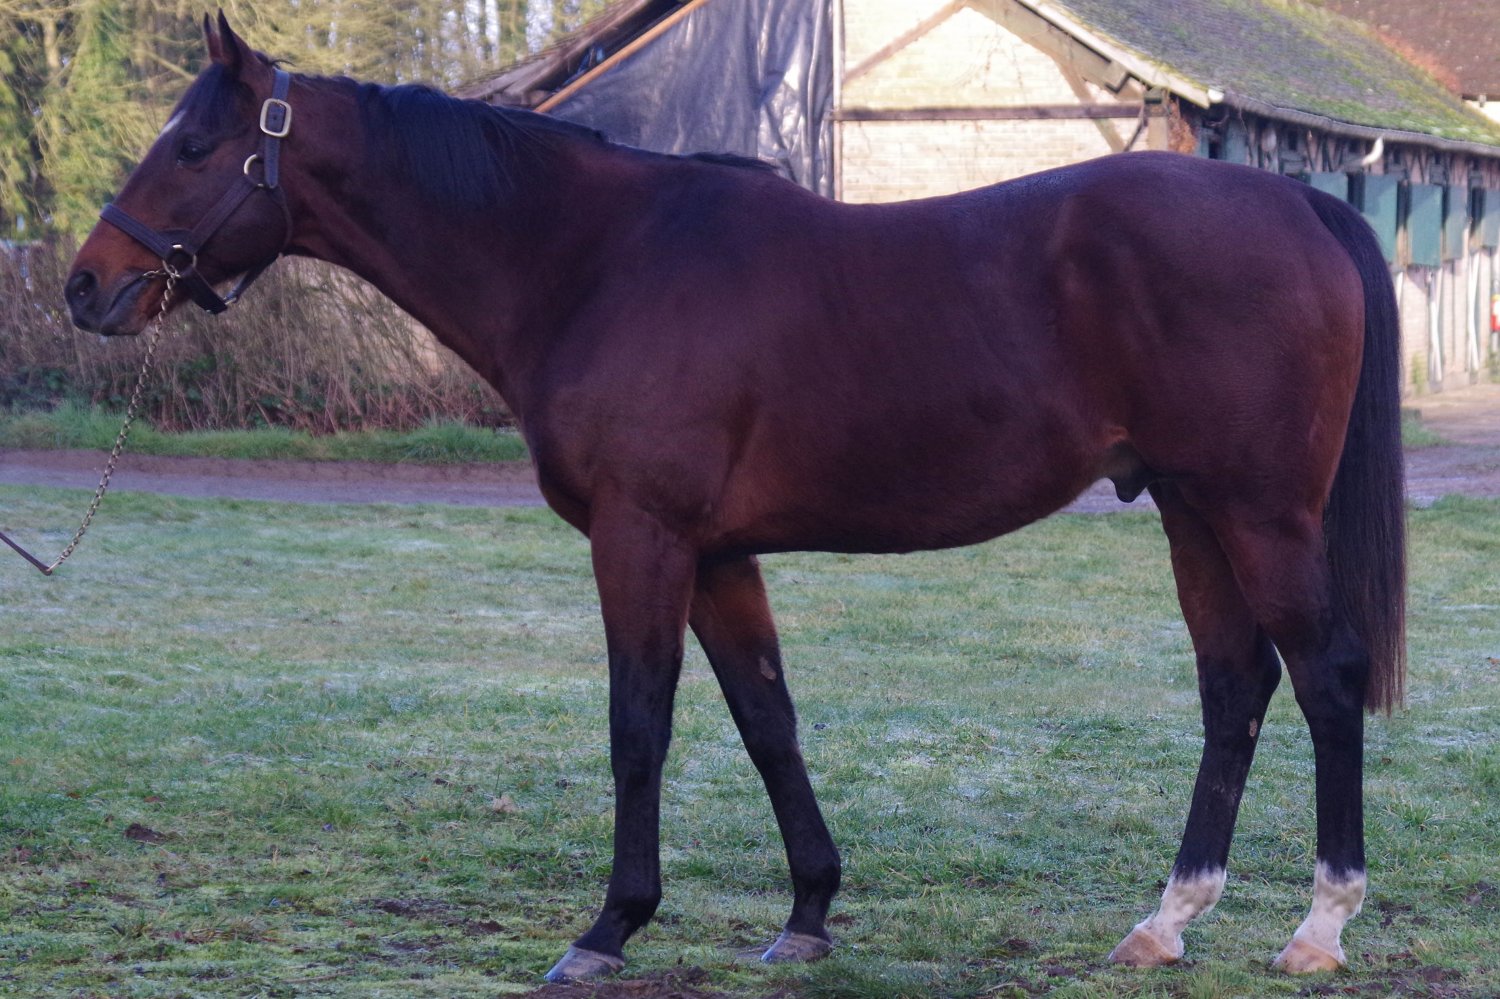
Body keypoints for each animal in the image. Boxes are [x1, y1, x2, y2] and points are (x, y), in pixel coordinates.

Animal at [65, 13, 1406, 982]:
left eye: (193, 148)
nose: (87, 286)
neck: (594, 261)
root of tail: (1300, 200)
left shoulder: (642, 541)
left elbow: (639, 726)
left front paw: (609, 927)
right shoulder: (717, 556)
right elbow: (768, 720)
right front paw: (808, 912)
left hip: (1258, 513)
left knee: (1325, 678)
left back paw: (1319, 928)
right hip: (1190, 510)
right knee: (1235, 686)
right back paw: (1165, 922)